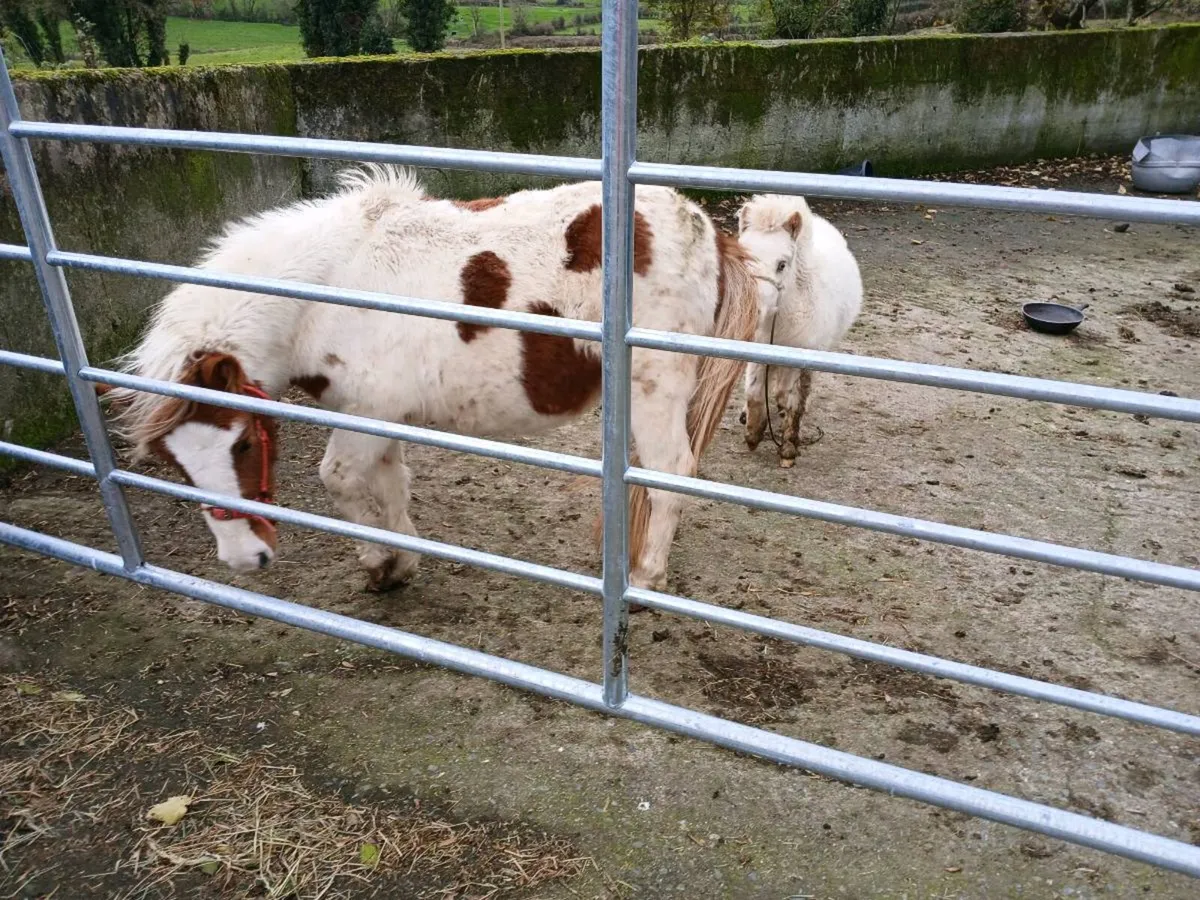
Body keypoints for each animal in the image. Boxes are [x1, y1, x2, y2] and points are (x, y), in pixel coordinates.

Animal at [99, 166, 760, 594]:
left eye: (241, 442)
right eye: (174, 464)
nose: (244, 559)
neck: (321, 295)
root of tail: (706, 228)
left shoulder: (362, 416)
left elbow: (338, 480)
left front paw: (377, 562)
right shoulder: (378, 415)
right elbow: (392, 484)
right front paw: (402, 562)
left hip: (656, 390)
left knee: (671, 474)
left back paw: (645, 579)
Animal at [735, 194, 864, 467]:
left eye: (782, 264)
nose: (753, 312)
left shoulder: (803, 356)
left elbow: (794, 399)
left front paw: (788, 448)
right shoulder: (757, 350)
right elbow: (754, 391)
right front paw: (753, 433)